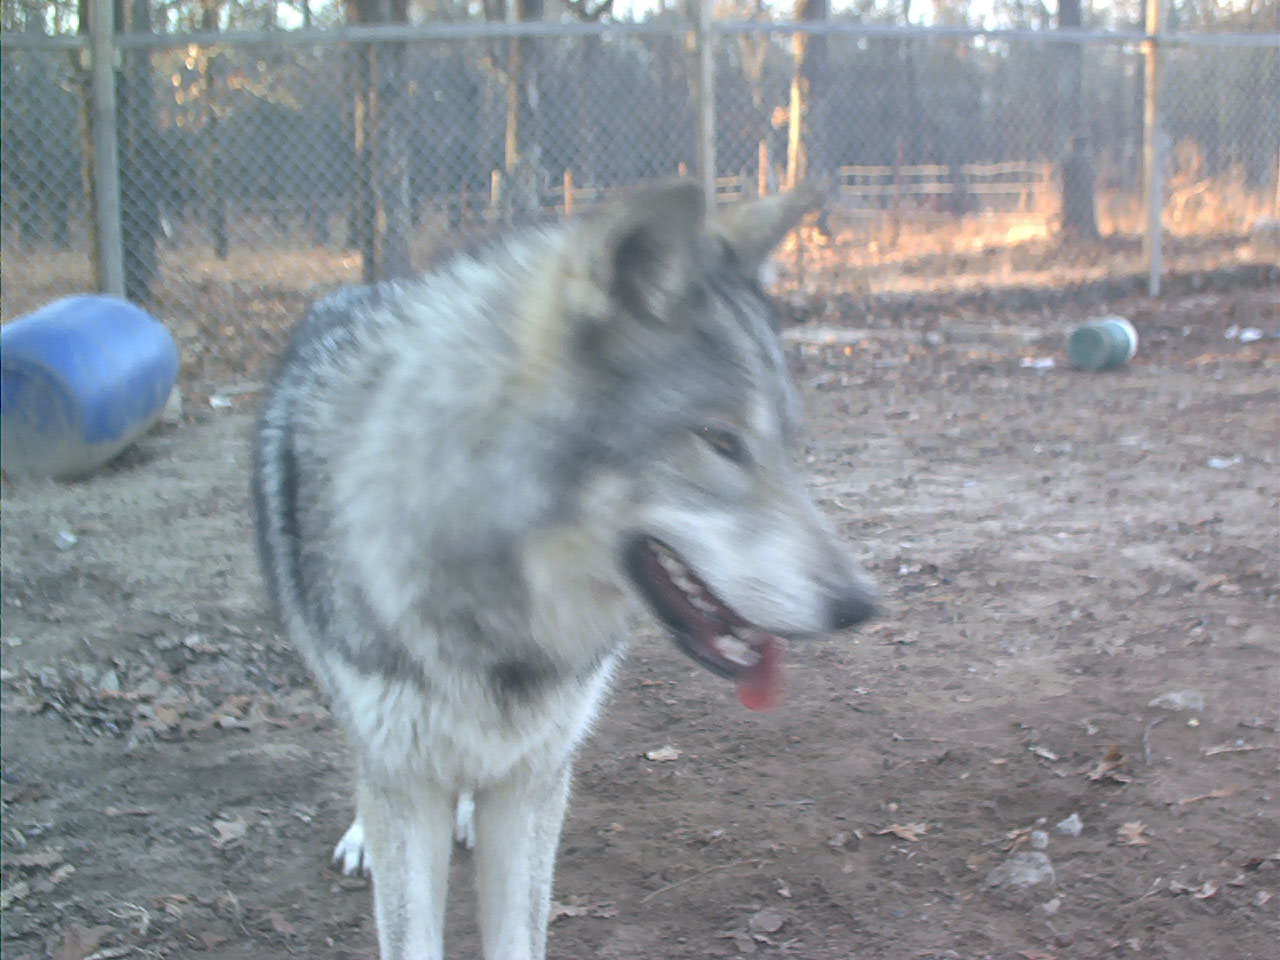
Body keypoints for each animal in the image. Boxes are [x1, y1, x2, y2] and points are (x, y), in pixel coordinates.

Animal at [251, 180, 877, 960]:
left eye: (790, 443)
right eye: (721, 441)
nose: (861, 604)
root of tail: (362, 288)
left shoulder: (536, 780)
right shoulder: (405, 774)